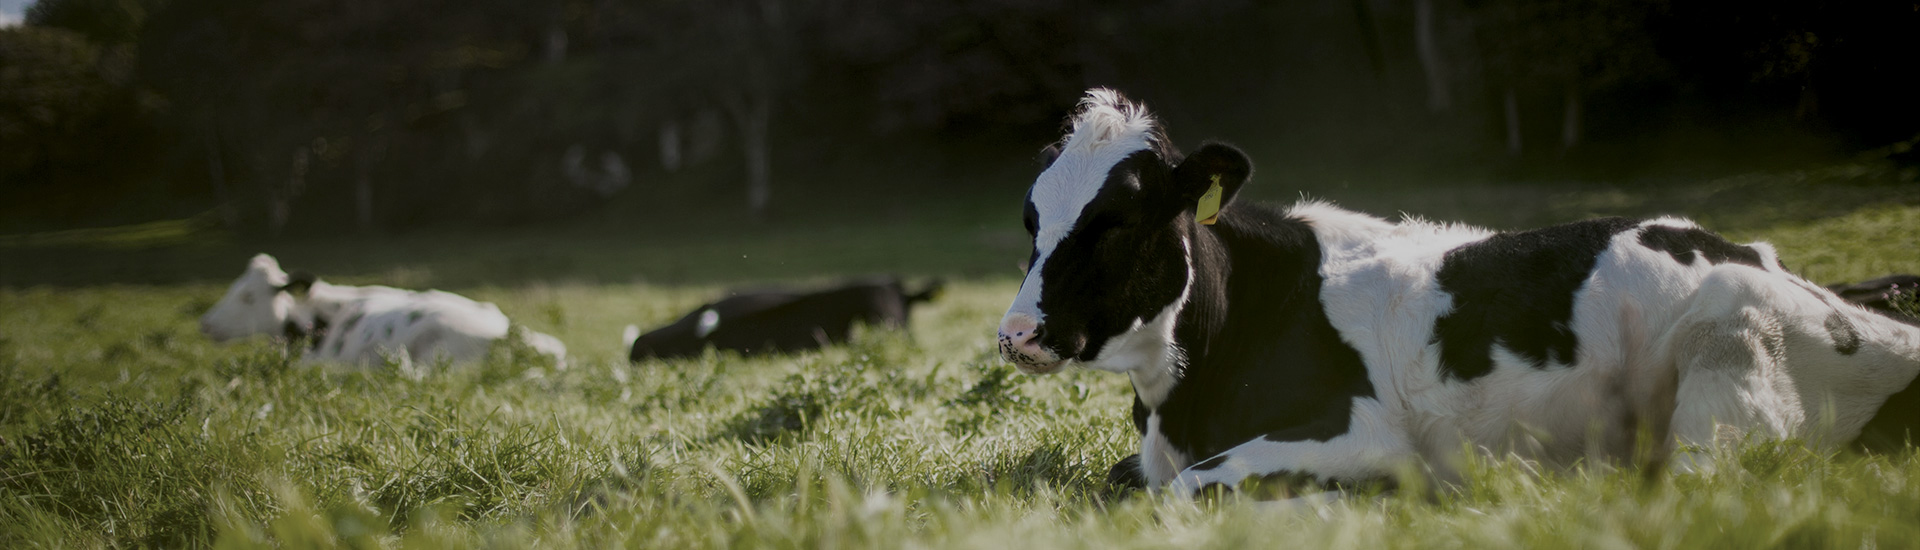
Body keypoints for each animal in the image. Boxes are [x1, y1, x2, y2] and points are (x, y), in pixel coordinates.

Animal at [998, 87, 1920, 500]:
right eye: (1031, 216)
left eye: (1117, 220)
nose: (1016, 334)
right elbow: (1132, 480)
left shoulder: (1358, 429)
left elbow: (1186, 489)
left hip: (1727, 368)